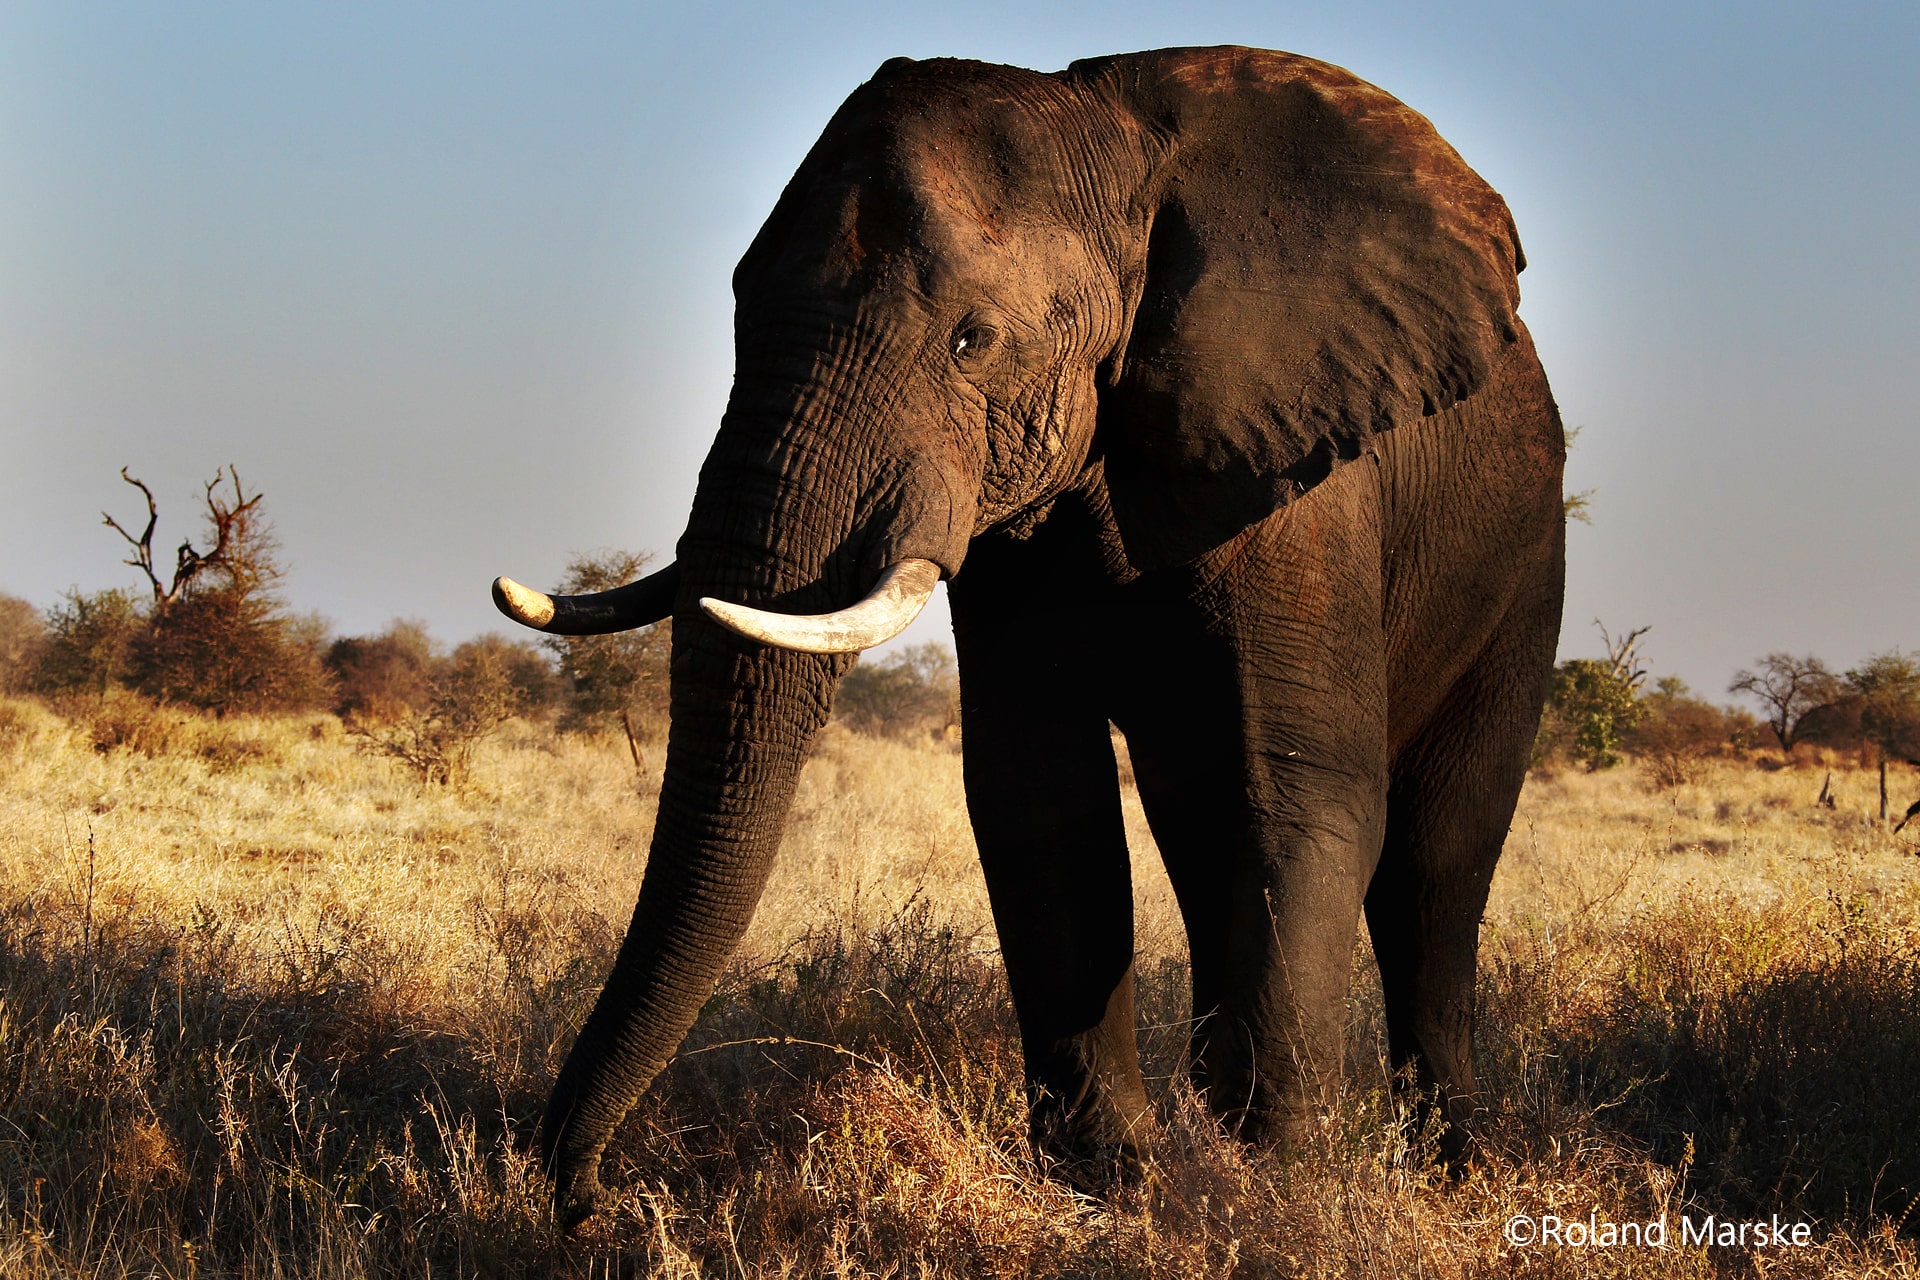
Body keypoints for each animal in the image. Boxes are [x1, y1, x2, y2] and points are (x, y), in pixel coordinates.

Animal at [493, 45, 1565, 1221]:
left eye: (974, 340)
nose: (588, 1197)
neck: (1110, 128)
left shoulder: (1296, 465)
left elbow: (1291, 795)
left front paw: (1267, 1195)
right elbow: (1038, 798)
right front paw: (1116, 1184)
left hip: (1523, 562)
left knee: (1435, 862)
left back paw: (1452, 1166)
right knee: (1201, 829)